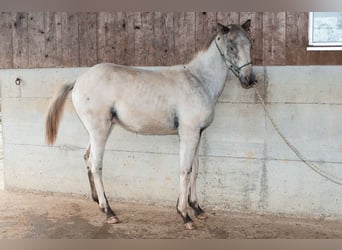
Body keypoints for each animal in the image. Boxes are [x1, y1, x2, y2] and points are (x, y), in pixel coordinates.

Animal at [44, 20, 256, 230]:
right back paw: (109, 212)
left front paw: (197, 208)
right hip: (99, 130)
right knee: (96, 164)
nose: (250, 80)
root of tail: (79, 80)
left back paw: (99, 202)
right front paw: (184, 215)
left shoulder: (198, 134)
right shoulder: (189, 133)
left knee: (87, 158)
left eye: (250, 44)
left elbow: (194, 169)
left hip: (103, 129)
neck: (199, 81)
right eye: (231, 46)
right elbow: (185, 170)